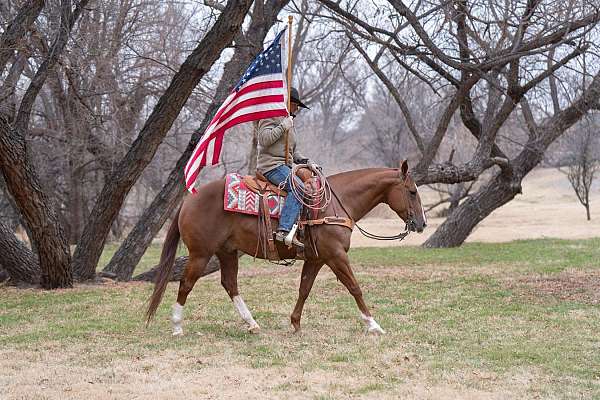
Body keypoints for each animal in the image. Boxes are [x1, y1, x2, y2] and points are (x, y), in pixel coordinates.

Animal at [145, 159, 426, 334]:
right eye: (412, 191)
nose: (421, 223)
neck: (335, 204)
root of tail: (188, 199)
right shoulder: (336, 256)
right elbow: (354, 287)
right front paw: (373, 325)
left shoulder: (316, 259)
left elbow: (304, 289)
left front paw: (295, 323)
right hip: (201, 254)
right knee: (186, 284)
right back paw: (177, 326)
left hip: (227, 252)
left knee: (230, 284)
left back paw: (252, 323)